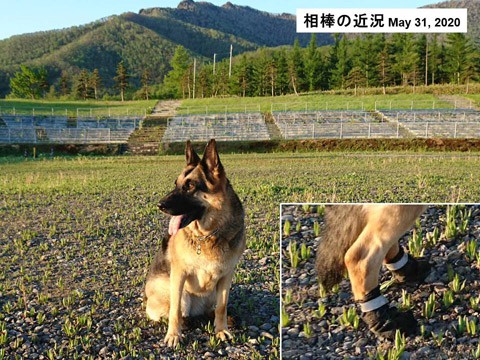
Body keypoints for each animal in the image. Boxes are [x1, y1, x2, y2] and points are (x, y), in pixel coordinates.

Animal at [145, 139, 244, 348]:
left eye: (190, 186)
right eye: (176, 184)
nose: (159, 205)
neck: (207, 235)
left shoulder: (226, 277)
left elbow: (222, 307)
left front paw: (221, 330)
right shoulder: (179, 274)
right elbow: (174, 312)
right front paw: (174, 335)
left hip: (212, 293)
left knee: (211, 310)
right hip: (181, 294)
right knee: (175, 311)